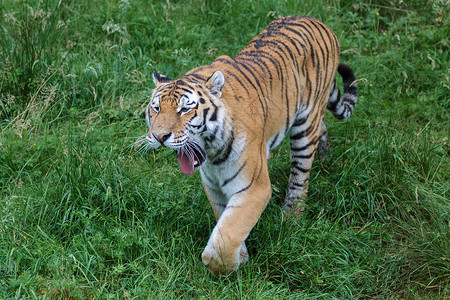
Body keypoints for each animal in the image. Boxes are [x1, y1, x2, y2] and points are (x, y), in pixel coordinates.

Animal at [143, 15, 356, 274]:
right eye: (156, 108)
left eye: (185, 109)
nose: (159, 136)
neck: (212, 154)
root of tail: (318, 21)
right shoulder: (213, 188)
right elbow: (225, 222)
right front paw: (242, 256)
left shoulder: (254, 187)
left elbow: (227, 235)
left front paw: (229, 266)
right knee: (321, 130)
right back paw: (324, 160)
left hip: (305, 126)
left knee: (300, 175)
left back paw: (291, 217)